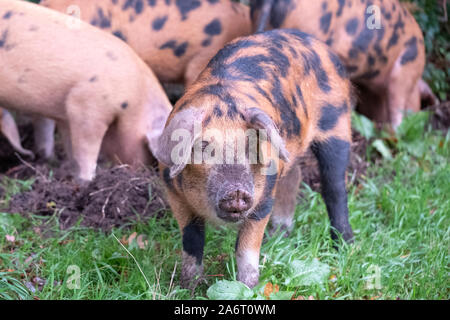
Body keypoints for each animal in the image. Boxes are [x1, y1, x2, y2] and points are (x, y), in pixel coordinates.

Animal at [0, 0, 171, 180]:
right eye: (149, 150)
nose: (145, 172)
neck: (136, 98)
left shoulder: (64, 115)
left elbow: (70, 147)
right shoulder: (86, 104)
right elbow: (86, 148)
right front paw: (87, 180)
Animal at [155, 30, 356, 288]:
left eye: (250, 145)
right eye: (203, 146)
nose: (236, 192)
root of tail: (318, 44)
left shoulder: (263, 199)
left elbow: (246, 248)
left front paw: (248, 287)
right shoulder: (175, 195)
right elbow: (192, 241)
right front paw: (186, 288)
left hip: (337, 124)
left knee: (335, 188)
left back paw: (344, 247)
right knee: (295, 174)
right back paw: (278, 236)